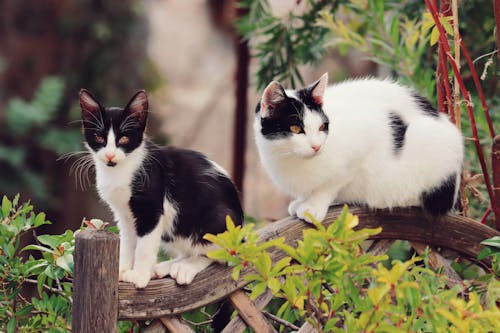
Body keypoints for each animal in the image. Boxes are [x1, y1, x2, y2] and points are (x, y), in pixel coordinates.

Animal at [79, 89, 243, 286]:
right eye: (99, 137)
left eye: (124, 138)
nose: (110, 155)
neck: (121, 170)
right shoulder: (124, 213)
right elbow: (127, 240)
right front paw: (121, 269)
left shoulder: (151, 209)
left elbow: (144, 246)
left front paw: (139, 276)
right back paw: (165, 267)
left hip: (219, 219)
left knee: (216, 254)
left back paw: (186, 267)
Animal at [256, 74, 462, 222]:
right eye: (296, 129)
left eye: (322, 127)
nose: (316, 146)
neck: (292, 159)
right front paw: (302, 200)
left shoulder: (364, 140)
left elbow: (332, 183)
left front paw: (313, 205)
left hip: (427, 137)